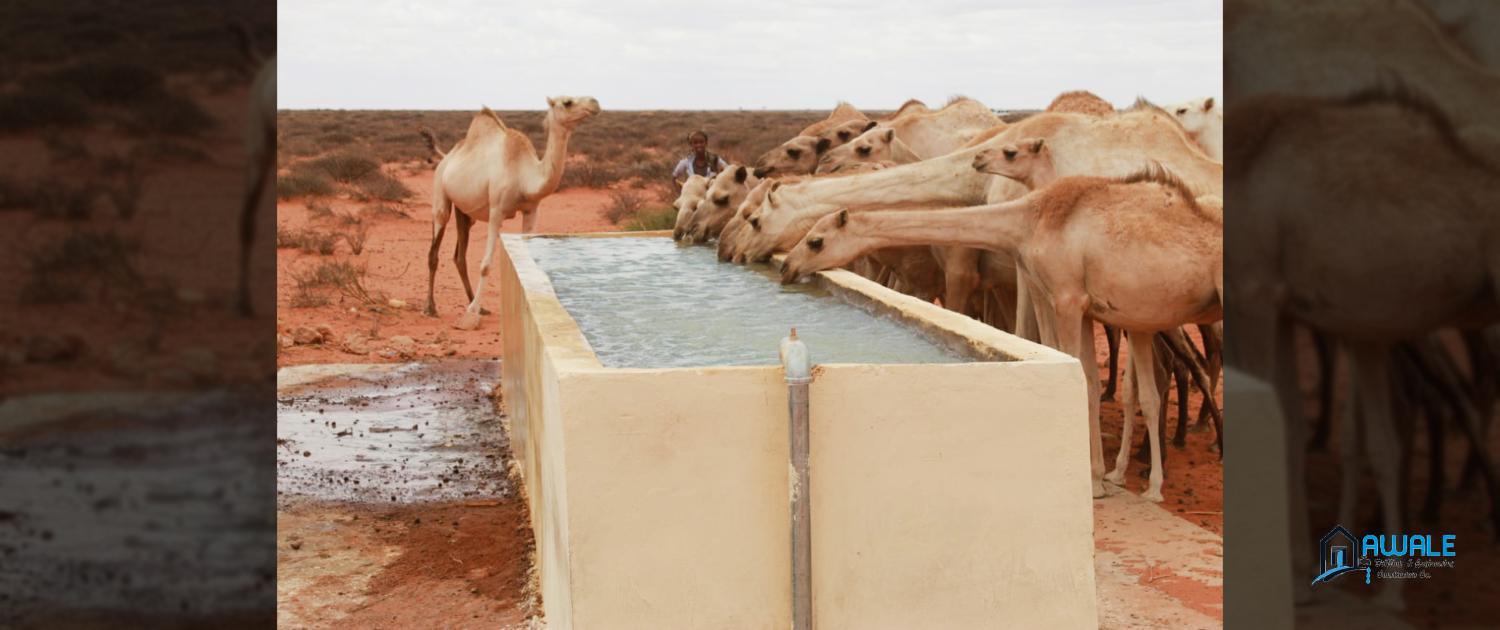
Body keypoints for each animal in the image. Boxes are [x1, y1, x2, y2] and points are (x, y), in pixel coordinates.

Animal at [420, 97, 600, 330]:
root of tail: (446, 157)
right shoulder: (496, 211)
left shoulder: (532, 210)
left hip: (465, 212)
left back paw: (477, 305)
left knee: (459, 256)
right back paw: (431, 308)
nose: (595, 103)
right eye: (567, 102)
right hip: (440, 198)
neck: (524, 176)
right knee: (434, 250)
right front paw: (471, 316)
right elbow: (486, 265)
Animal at [780, 165, 1224, 501]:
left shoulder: (1067, 298)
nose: (786, 267)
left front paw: (1094, 482)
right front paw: (1116, 480)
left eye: (816, 241)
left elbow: (1086, 381)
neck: (1030, 220)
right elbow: (1113, 387)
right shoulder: (1084, 305)